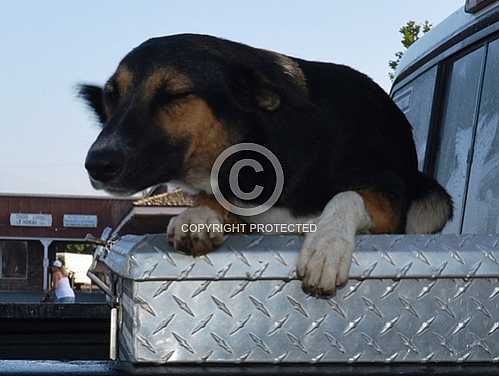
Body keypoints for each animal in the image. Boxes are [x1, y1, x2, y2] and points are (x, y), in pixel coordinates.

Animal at [80, 33, 456, 296]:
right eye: (112, 95)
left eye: (176, 94)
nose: (97, 164)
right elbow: (217, 201)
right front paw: (199, 214)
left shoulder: (388, 194)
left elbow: (347, 196)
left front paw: (327, 245)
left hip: (432, 203)